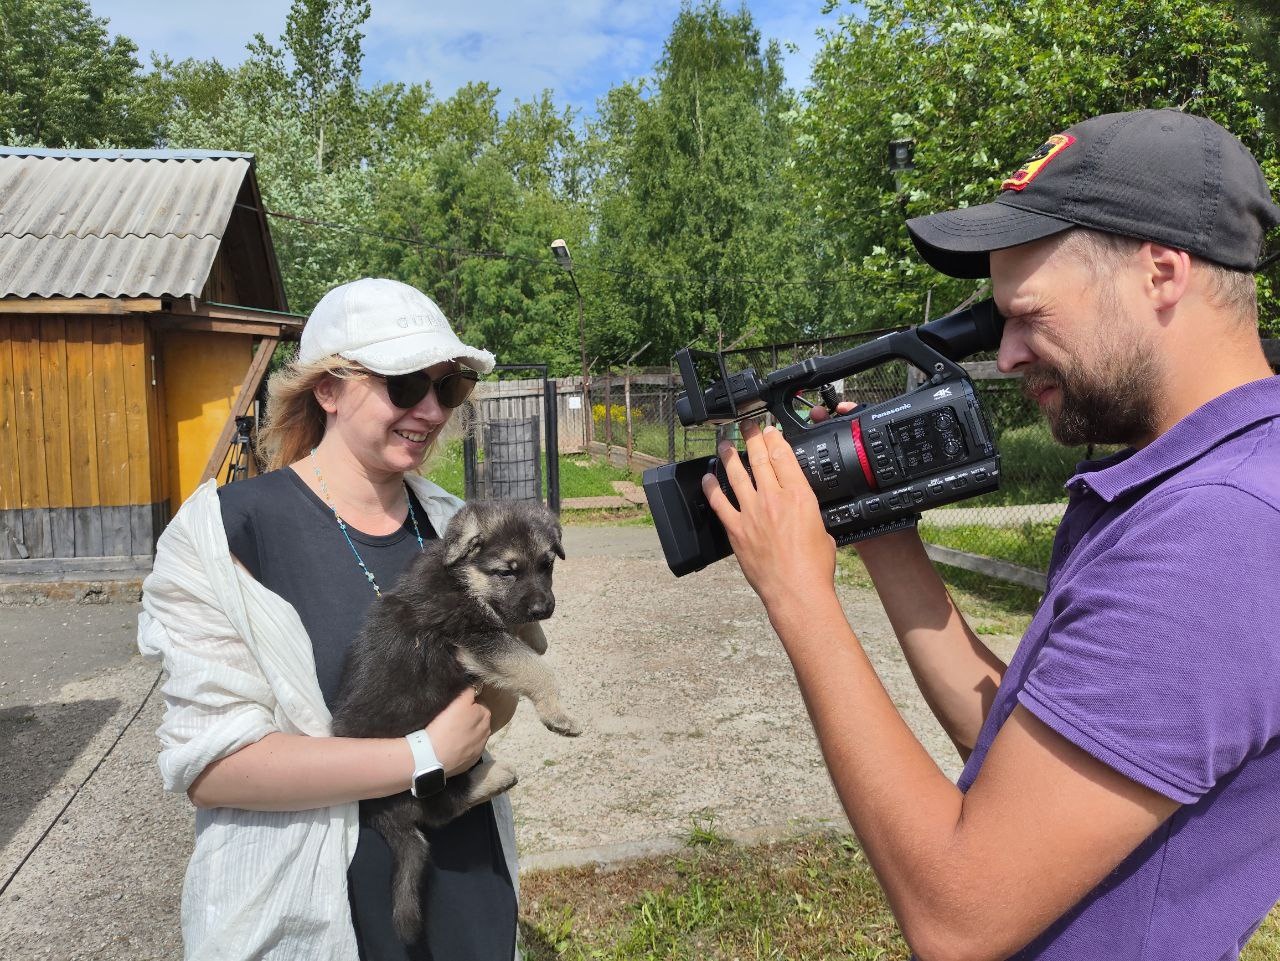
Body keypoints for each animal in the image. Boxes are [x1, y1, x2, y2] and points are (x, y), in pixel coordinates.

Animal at [330, 499, 580, 943]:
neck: (463, 578)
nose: (544, 609)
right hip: (417, 781)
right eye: (507, 571)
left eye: (546, 565)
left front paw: (536, 635)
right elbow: (535, 668)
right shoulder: (474, 637)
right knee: (440, 809)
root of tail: (376, 814)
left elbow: (528, 645)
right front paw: (557, 712)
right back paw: (496, 775)